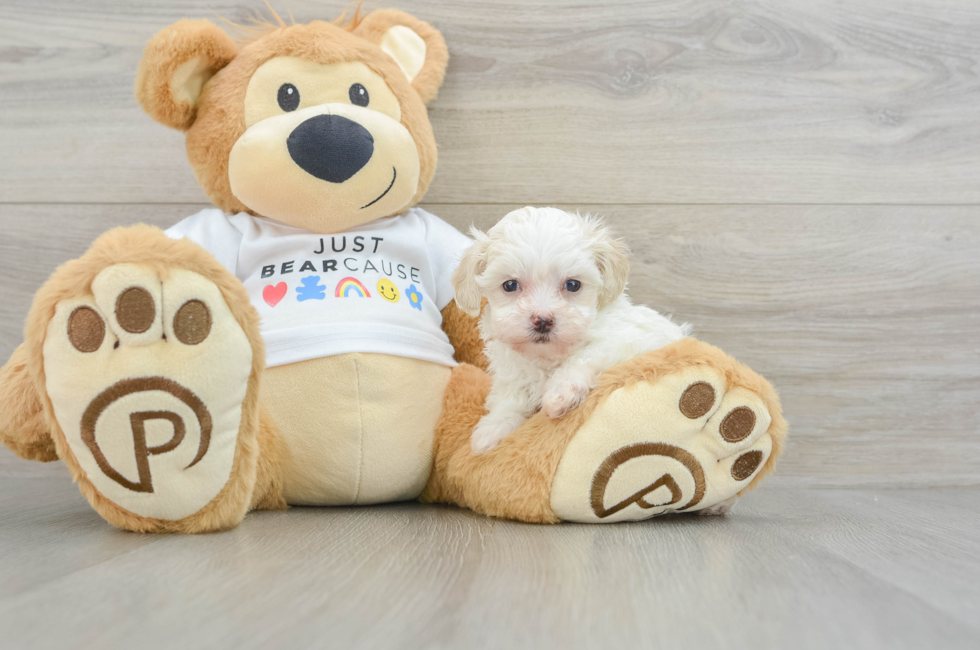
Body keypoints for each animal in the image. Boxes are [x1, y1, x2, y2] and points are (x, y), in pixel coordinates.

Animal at [452, 205, 688, 454]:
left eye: (573, 285)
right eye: (510, 285)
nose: (542, 320)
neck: (548, 357)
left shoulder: (634, 339)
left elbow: (587, 355)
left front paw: (560, 393)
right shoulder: (513, 372)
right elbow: (510, 398)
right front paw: (493, 429)